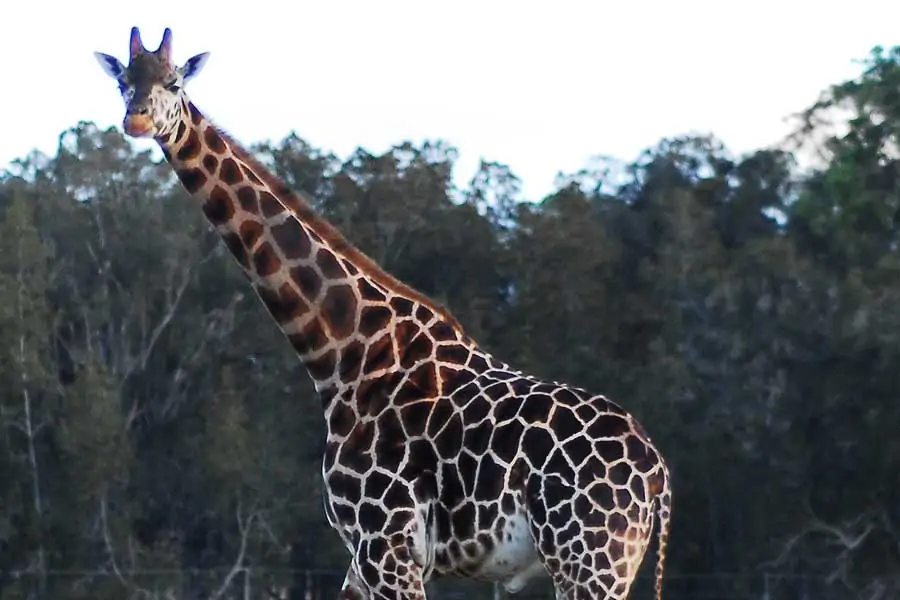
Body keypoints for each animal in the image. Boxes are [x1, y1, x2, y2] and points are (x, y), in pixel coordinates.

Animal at [94, 27, 672, 600]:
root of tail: (657, 478)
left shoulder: (386, 543)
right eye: (124, 81)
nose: (136, 119)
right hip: (602, 562)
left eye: (173, 82)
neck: (343, 352)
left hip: (587, 560)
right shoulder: (362, 557)